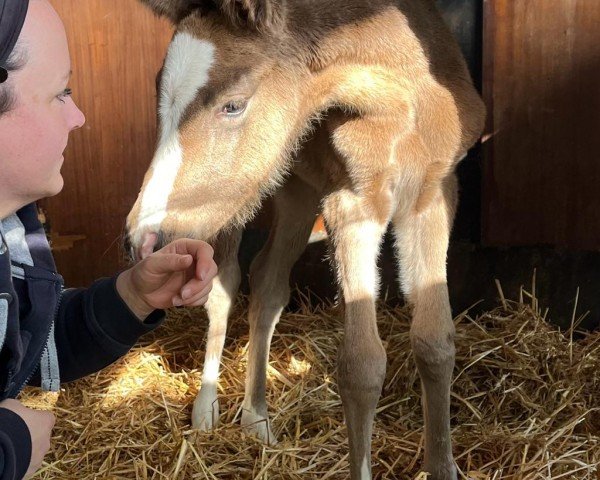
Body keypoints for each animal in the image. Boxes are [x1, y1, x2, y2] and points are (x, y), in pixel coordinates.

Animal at [125, 1, 482, 478]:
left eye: (233, 105)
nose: (142, 239)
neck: (399, 103)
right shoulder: (351, 204)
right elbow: (362, 365)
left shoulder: (434, 194)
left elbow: (435, 342)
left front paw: (443, 466)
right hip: (239, 199)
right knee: (225, 285)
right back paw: (207, 408)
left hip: (294, 187)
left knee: (268, 280)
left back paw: (256, 417)